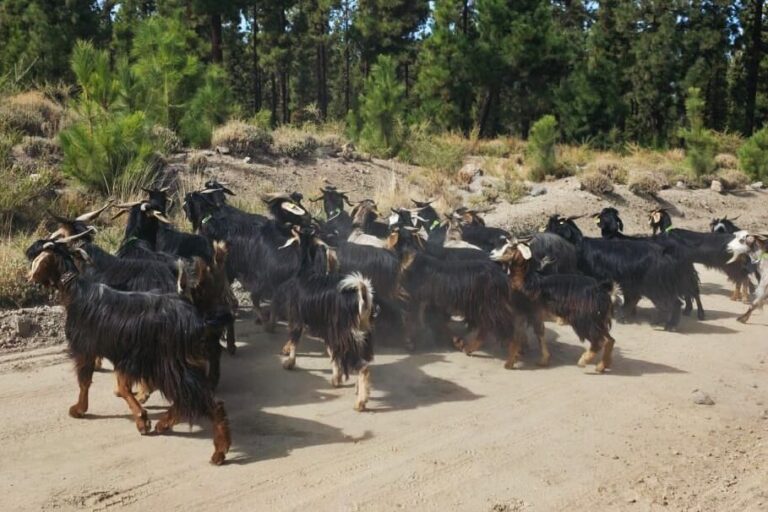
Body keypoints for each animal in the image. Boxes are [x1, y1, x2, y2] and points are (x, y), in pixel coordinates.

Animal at [27, 237, 232, 465]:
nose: (28, 276)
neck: (77, 291)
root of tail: (198, 320)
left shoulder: (87, 348)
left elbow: (86, 381)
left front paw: (80, 409)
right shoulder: (124, 356)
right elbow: (122, 386)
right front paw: (142, 417)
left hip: (173, 366)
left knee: (208, 403)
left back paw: (219, 451)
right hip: (180, 366)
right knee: (188, 399)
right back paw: (164, 424)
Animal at [273, 227, 375, 411]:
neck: (306, 273)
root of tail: (362, 297)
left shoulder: (297, 317)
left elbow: (294, 340)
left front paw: (289, 362)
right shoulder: (328, 330)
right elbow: (332, 353)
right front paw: (336, 378)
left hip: (348, 337)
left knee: (363, 368)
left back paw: (360, 403)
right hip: (362, 336)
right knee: (364, 363)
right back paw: (359, 391)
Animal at [491, 238, 617, 372]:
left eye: (510, 248)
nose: (492, 254)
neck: (524, 281)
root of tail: (603, 291)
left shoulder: (525, 312)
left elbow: (521, 335)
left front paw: (509, 363)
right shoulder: (532, 314)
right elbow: (538, 333)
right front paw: (543, 360)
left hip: (585, 319)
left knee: (600, 341)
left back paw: (584, 360)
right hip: (598, 319)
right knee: (610, 340)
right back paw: (602, 366)